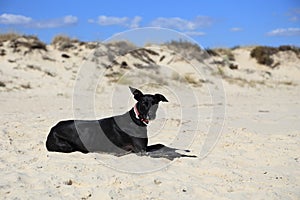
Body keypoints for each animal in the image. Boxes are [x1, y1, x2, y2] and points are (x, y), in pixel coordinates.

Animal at [44, 86, 195, 160]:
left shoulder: (145, 148)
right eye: (143, 103)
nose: (151, 115)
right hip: (67, 146)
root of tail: (52, 128)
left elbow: (162, 145)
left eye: (155, 103)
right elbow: (166, 154)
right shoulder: (141, 151)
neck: (136, 119)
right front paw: (189, 155)